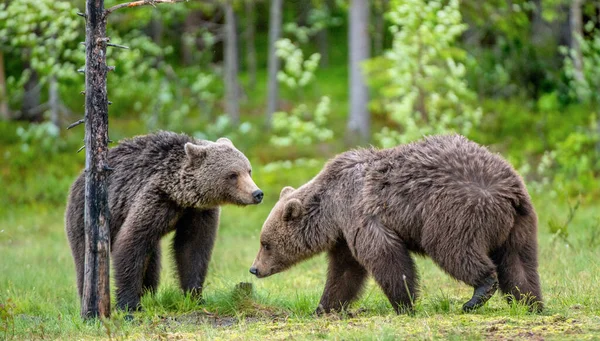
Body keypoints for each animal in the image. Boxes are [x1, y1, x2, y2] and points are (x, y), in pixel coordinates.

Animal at [65, 131, 262, 310]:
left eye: (248, 170)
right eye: (233, 174)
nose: (257, 193)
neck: (181, 196)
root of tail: (78, 179)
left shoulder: (198, 213)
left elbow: (192, 248)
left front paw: (195, 296)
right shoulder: (155, 200)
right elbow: (131, 243)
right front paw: (129, 305)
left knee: (152, 262)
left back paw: (148, 293)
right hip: (85, 218)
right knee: (84, 260)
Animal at [248, 133, 544, 314]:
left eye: (265, 243)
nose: (254, 269)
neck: (332, 210)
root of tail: (507, 192)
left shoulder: (362, 213)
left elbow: (386, 257)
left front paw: (405, 303)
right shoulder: (345, 234)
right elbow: (344, 272)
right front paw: (323, 307)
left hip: (454, 212)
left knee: (454, 249)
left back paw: (479, 292)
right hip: (522, 223)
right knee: (519, 262)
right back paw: (531, 302)